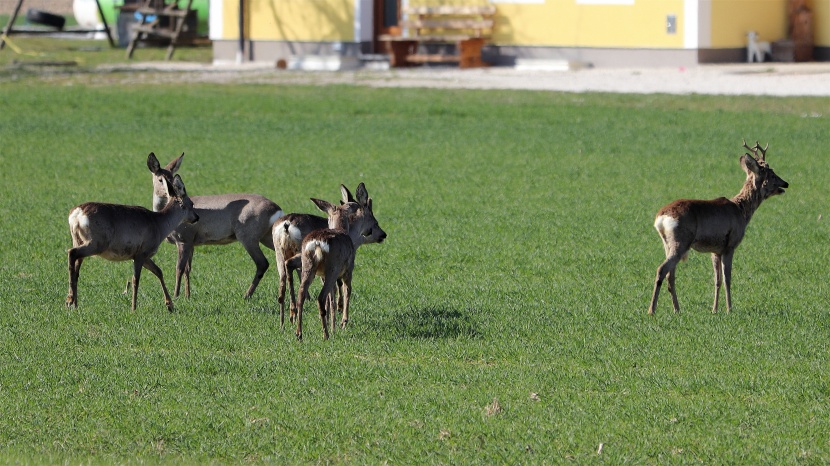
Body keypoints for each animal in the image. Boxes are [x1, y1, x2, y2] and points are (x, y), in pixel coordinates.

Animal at [146, 153, 282, 298]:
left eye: (172, 178)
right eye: (160, 179)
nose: (173, 192)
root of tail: (277, 210)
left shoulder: (184, 238)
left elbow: (179, 268)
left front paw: (176, 295)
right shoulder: (191, 242)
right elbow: (188, 269)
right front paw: (187, 296)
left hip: (248, 236)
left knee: (263, 263)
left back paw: (246, 295)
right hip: (267, 237)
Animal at [274, 182, 388, 328]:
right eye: (375, 222)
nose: (383, 234)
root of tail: (286, 224)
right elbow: (343, 288)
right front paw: (339, 315)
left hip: (281, 253)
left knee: (283, 283)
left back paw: (287, 320)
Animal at [648, 140, 788, 314]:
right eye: (771, 173)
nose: (785, 183)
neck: (741, 210)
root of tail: (660, 218)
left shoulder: (715, 250)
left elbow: (717, 280)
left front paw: (714, 310)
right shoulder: (730, 245)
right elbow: (728, 279)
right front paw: (729, 309)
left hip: (667, 244)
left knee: (670, 274)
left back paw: (677, 309)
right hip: (680, 241)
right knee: (662, 269)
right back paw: (652, 310)